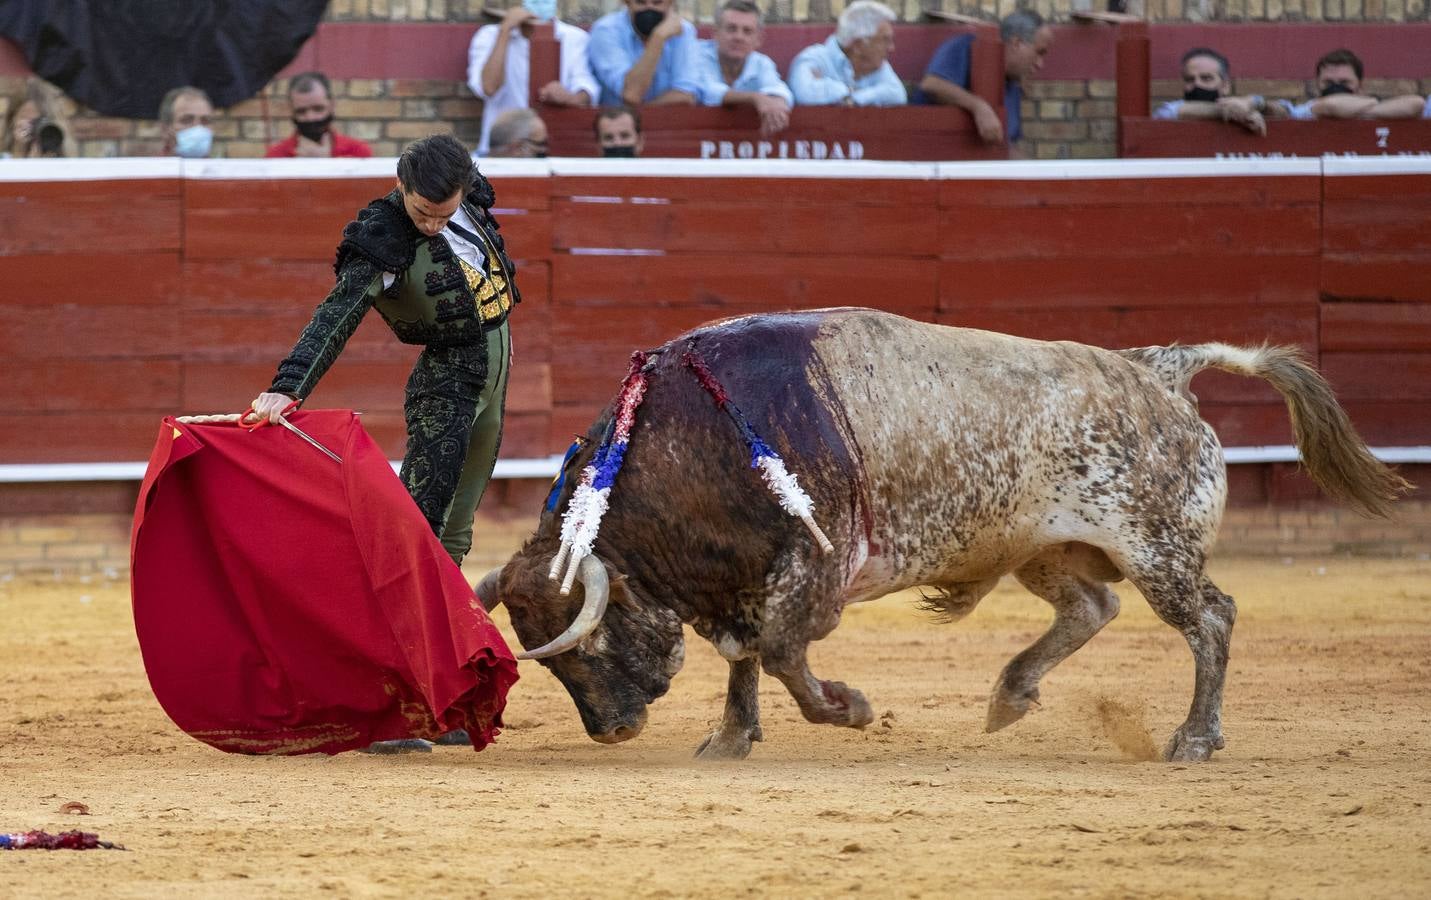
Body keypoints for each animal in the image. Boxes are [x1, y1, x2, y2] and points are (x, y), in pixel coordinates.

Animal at [477, 307, 1408, 755]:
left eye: (588, 644)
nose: (612, 731)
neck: (689, 442)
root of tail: (1156, 372)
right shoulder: (742, 580)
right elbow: (745, 658)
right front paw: (730, 738)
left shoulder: (810, 570)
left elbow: (779, 654)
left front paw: (848, 709)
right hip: (1040, 547)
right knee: (1090, 608)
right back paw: (1009, 696)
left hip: (1156, 548)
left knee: (1208, 618)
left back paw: (1193, 738)